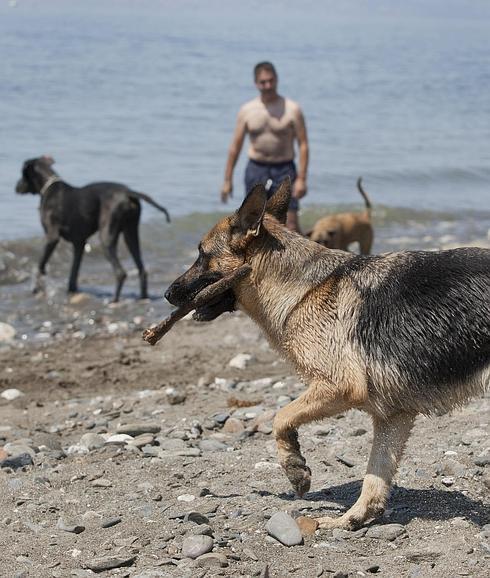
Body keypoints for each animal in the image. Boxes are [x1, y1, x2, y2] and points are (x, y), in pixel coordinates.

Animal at [16, 156, 170, 302]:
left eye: (22, 174)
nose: (16, 187)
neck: (50, 187)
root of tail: (128, 192)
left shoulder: (52, 237)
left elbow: (41, 265)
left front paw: (36, 289)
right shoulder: (79, 243)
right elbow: (74, 271)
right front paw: (71, 290)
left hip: (107, 237)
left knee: (120, 273)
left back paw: (114, 300)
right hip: (131, 233)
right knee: (142, 270)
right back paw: (143, 298)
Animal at [166, 178, 490, 528]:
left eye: (202, 254)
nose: (167, 293)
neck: (300, 290)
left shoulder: (339, 386)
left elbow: (281, 416)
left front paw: (295, 468)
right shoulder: (393, 415)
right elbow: (376, 471)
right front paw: (355, 516)